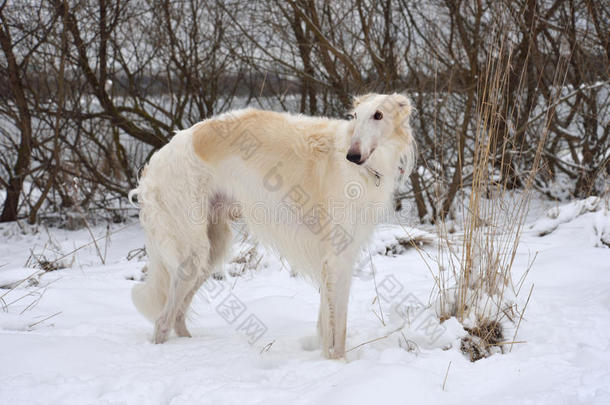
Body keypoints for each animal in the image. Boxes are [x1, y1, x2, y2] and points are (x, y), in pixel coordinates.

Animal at [128, 91, 414, 356]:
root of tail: (157, 161)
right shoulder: (338, 257)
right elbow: (337, 330)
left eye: (378, 115)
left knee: (176, 316)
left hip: (211, 250)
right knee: (162, 321)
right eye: (354, 116)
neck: (362, 170)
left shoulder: (331, 259)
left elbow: (325, 325)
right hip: (192, 250)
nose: (352, 156)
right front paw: (338, 364)